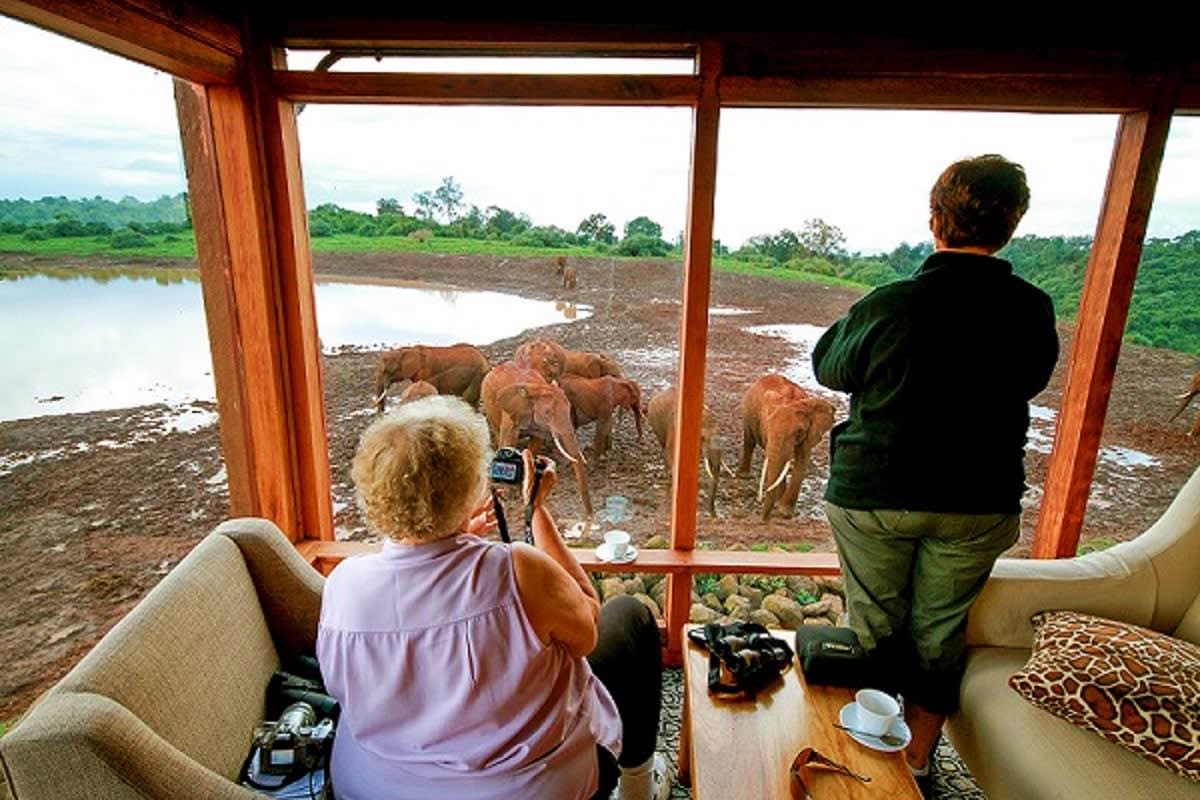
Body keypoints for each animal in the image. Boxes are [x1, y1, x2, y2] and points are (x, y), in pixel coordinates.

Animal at [738, 374, 836, 521]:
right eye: (768, 426)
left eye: (799, 432)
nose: (764, 519)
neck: (795, 403)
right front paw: (780, 506)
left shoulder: (809, 434)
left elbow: (802, 461)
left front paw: (785, 512)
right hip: (749, 410)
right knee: (749, 441)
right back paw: (743, 476)